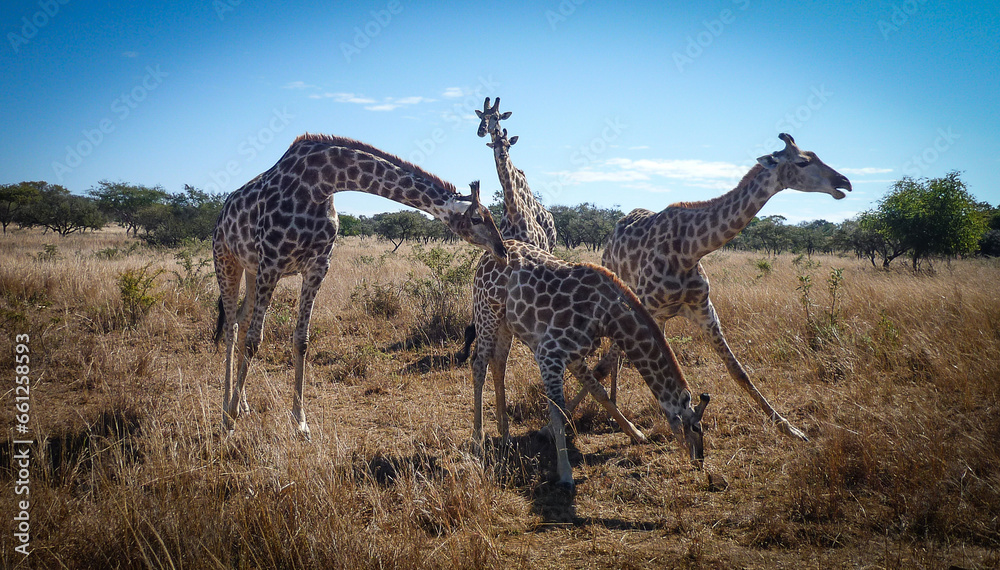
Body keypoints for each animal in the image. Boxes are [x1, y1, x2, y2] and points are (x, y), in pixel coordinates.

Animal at [212, 133, 507, 436]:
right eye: (477, 218)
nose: (503, 250)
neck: (321, 184)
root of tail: (222, 212)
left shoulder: (317, 267)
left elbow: (301, 340)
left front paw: (301, 422)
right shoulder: (272, 262)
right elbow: (254, 341)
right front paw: (230, 419)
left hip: (251, 268)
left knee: (242, 319)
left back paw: (243, 404)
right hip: (226, 259)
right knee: (232, 327)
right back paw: (227, 410)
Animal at [482, 239, 710, 489]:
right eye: (696, 426)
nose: (699, 460)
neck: (609, 318)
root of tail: (494, 249)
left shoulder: (573, 354)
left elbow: (599, 391)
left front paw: (636, 433)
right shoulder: (548, 353)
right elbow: (557, 409)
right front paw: (565, 474)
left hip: (505, 322)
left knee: (498, 364)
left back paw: (504, 435)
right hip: (487, 311)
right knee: (479, 365)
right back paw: (477, 439)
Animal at [575, 133, 851, 441]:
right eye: (803, 162)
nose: (844, 183)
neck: (689, 250)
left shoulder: (705, 312)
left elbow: (738, 371)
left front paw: (789, 428)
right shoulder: (644, 308)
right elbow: (603, 366)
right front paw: (565, 416)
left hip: (660, 315)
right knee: (614, 357)